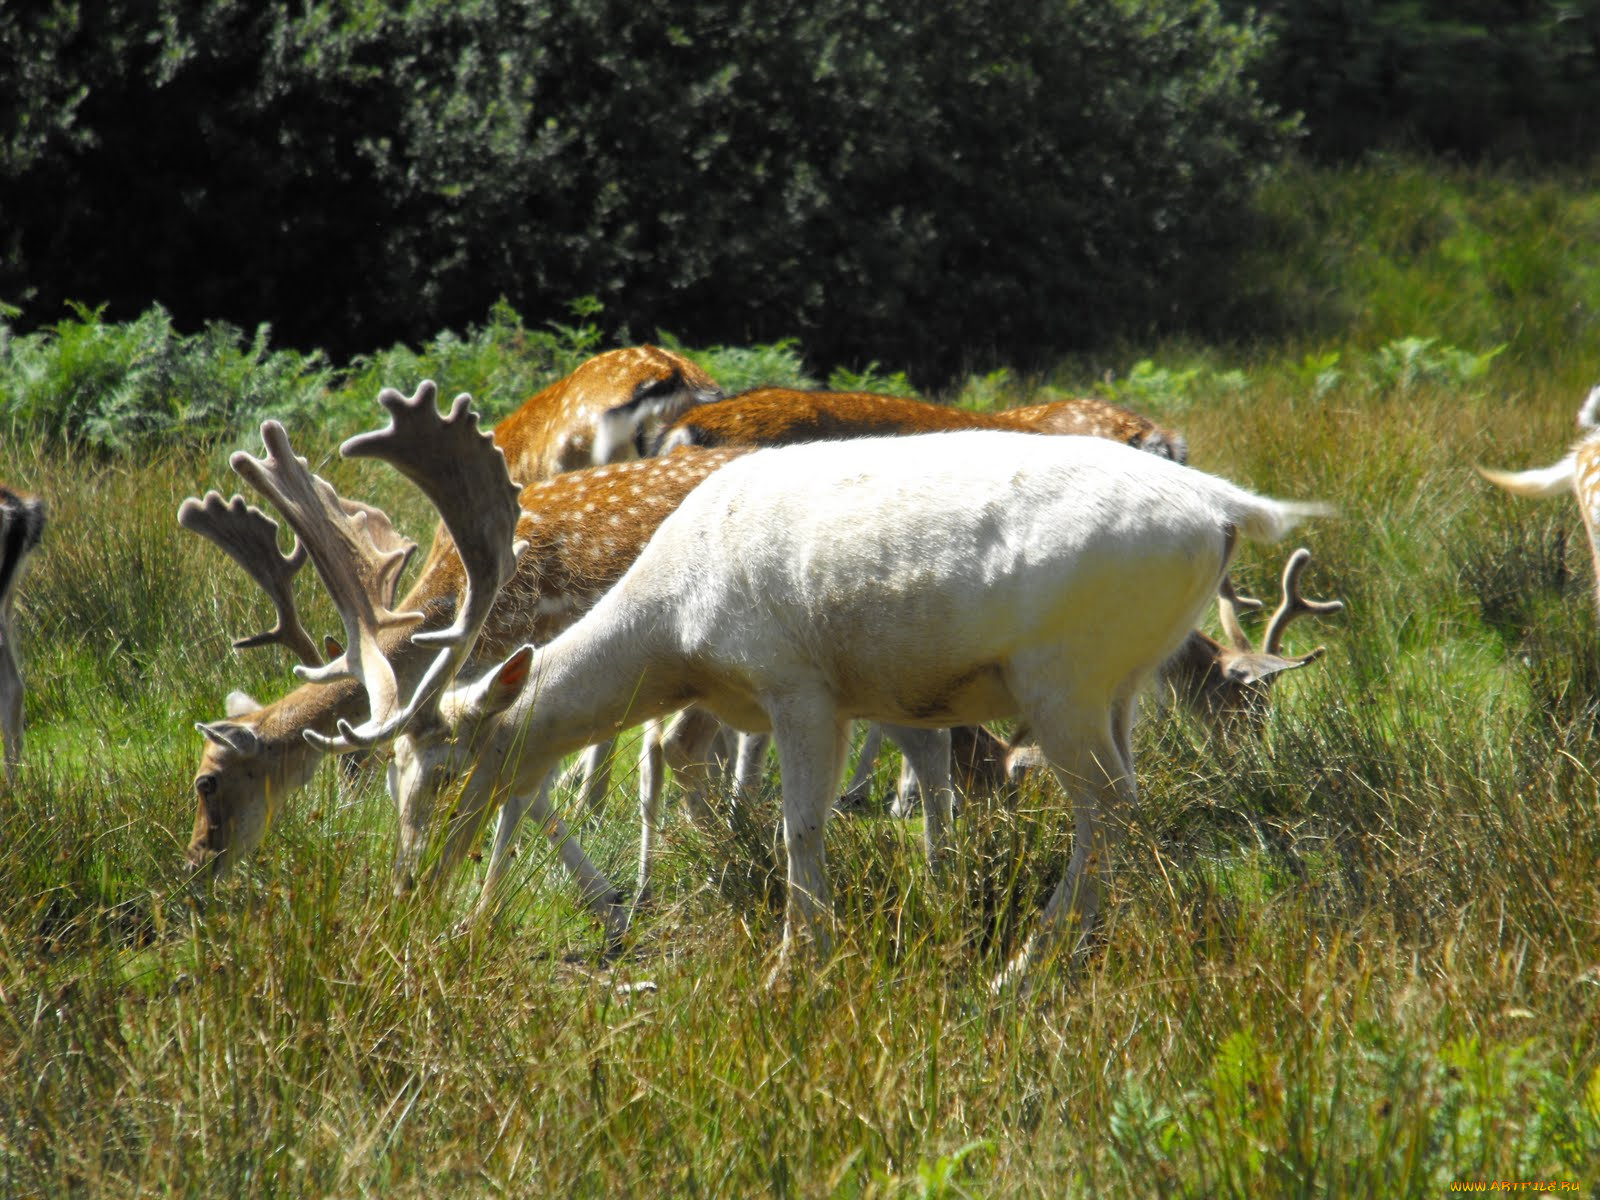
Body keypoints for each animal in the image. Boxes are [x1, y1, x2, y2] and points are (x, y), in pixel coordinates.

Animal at [302, 390, 1324, 992]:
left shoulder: (799, 683)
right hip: (1124, 679)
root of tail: (1228, 510)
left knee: (1106, 800)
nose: (412, 887)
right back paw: (1086, 944)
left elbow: (803, 823)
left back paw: (1023, 969)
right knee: (1125, 799)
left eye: (447, 764)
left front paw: (796, 968)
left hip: (1062, 671)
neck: (679, 627)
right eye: (395, 772)